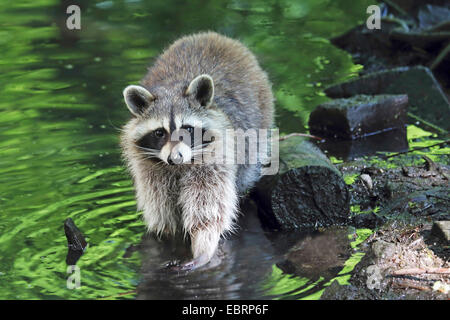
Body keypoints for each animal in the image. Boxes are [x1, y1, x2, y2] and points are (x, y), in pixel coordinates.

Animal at [120, 31, 274, 270]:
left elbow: (209, 208)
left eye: (188, 129)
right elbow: (162, 208)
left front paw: (203, 247)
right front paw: (168, 241)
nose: (174, 158)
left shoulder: (216, 155)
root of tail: (214, 36)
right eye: (159, 133)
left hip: (260, 120)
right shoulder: (149, 166)